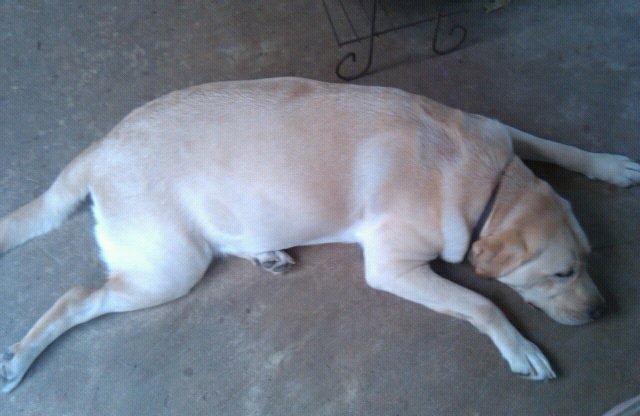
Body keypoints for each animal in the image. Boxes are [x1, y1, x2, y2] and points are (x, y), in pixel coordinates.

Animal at [1, 77, 640, 390]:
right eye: (561, 272)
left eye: (591, 257)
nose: (604, 310)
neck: (484, 182)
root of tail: (101, 147)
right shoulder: (394, 267)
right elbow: (481, 303)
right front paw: (521, 347)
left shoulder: (503, 134)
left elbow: (555, 144)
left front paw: (610, 164)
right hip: (168, 269)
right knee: (75, 298)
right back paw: (18, 360)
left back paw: (266, 253)